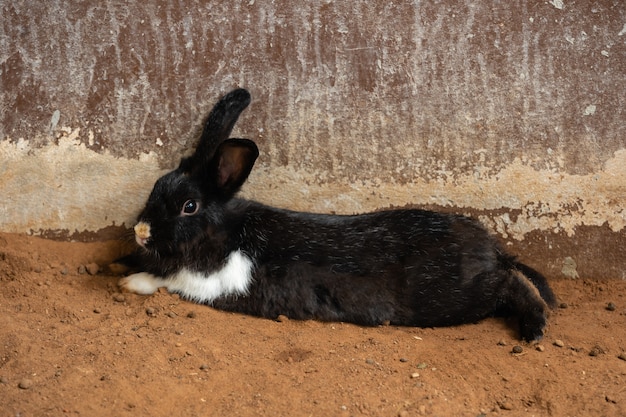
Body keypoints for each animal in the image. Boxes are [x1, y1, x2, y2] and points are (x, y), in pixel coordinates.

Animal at [118, 88, 556, 342]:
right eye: (158, 186)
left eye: (189, 206)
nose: (140, 230)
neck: (226, 234)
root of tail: (492, 251)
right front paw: (120, 264)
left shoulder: (212, 282)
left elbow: (168, 281)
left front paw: (131, 281)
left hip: (458, 296)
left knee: (513, 286)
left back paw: (533, 331)